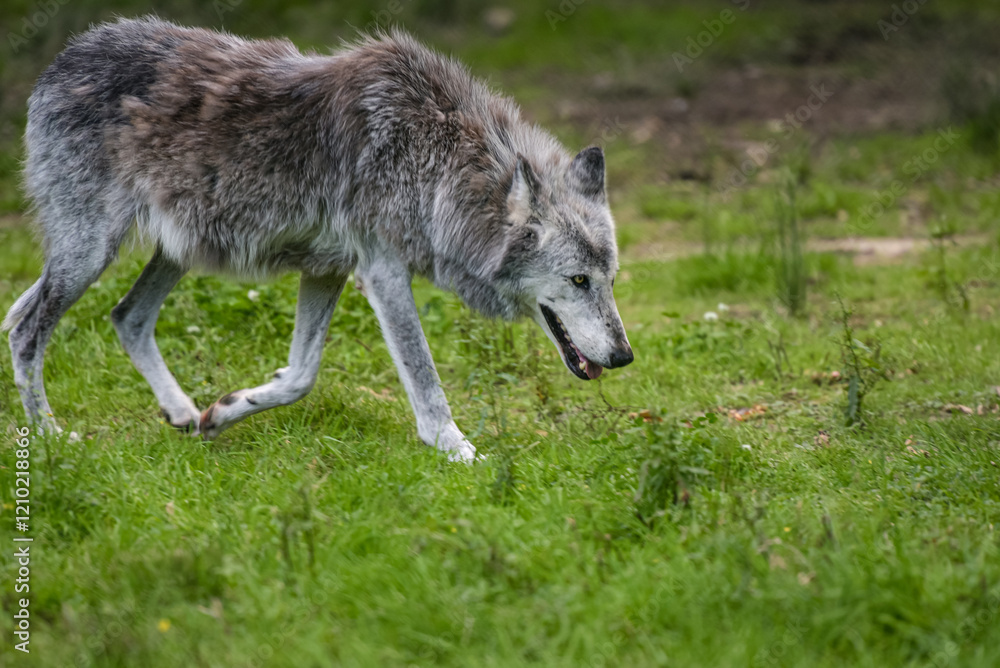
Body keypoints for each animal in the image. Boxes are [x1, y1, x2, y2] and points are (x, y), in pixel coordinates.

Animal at [3, 17, 633, 462]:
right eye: (579, 280)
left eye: (610, 280)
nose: (625, 356)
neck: (434, 161)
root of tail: (66, 55)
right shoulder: (381, 273)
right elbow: (426, 382)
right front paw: (460, 453)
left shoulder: (328, 269)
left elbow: (300, 377)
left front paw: (225, 411)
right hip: (91, 253)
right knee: (28, 328)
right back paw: (51, 436)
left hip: (175, 252)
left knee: (121, 316)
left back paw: (183, 413)